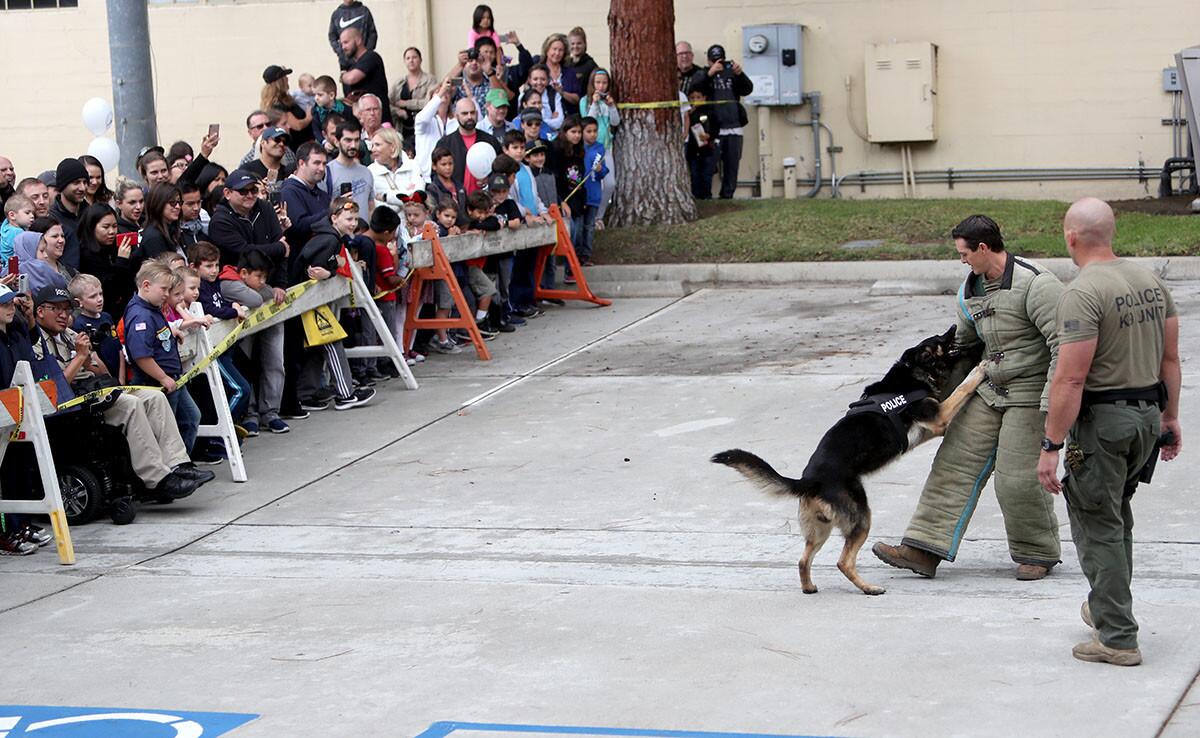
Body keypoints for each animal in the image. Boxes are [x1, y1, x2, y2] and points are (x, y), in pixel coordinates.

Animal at [710, 326, 984, 597]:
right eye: (941, 340)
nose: (955, 327)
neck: (913, 371)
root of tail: (809, 481)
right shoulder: (940, 418)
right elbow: (963, 387)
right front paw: (980, 370)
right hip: (860, 518)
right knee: (843, 561)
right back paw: (869, 588)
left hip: (820, 530)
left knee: (803, 560)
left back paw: (809, 587)